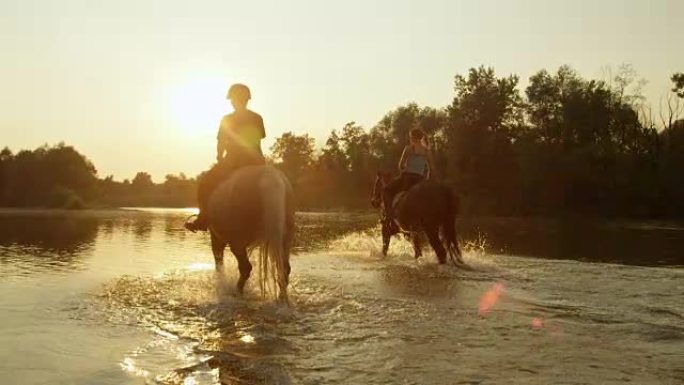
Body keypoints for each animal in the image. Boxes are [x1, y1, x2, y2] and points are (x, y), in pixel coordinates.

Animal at [207, 164, 296, 302]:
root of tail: (271, 179)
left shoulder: (216, 238)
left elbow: (219, 262)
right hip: (285, 239)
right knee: (284, 268)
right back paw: (281, 298)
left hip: (237, 242)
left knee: (245, 268)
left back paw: (237, 292)